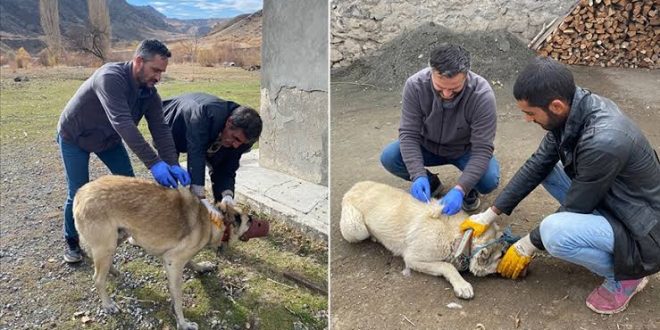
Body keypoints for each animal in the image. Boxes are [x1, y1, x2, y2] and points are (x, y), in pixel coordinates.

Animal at [76, 175, 270, 330]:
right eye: (249, 221)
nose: (258, 222)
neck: (214, 220)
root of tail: (80, 193)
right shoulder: (173, 262)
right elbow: (177, 299)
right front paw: (182, 323)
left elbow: (192, 261)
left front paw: (201, 267)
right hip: (106, 246)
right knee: (97, 278)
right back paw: (108, 304)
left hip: (118, 238)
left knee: (103, 265)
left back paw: (113, 271)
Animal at [338, 180, 508, 300]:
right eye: (500, 256)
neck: (457, 237)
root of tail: (353, 187)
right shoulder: (413, 259)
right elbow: (447, 266)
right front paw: (462, 285)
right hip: (357, 229)